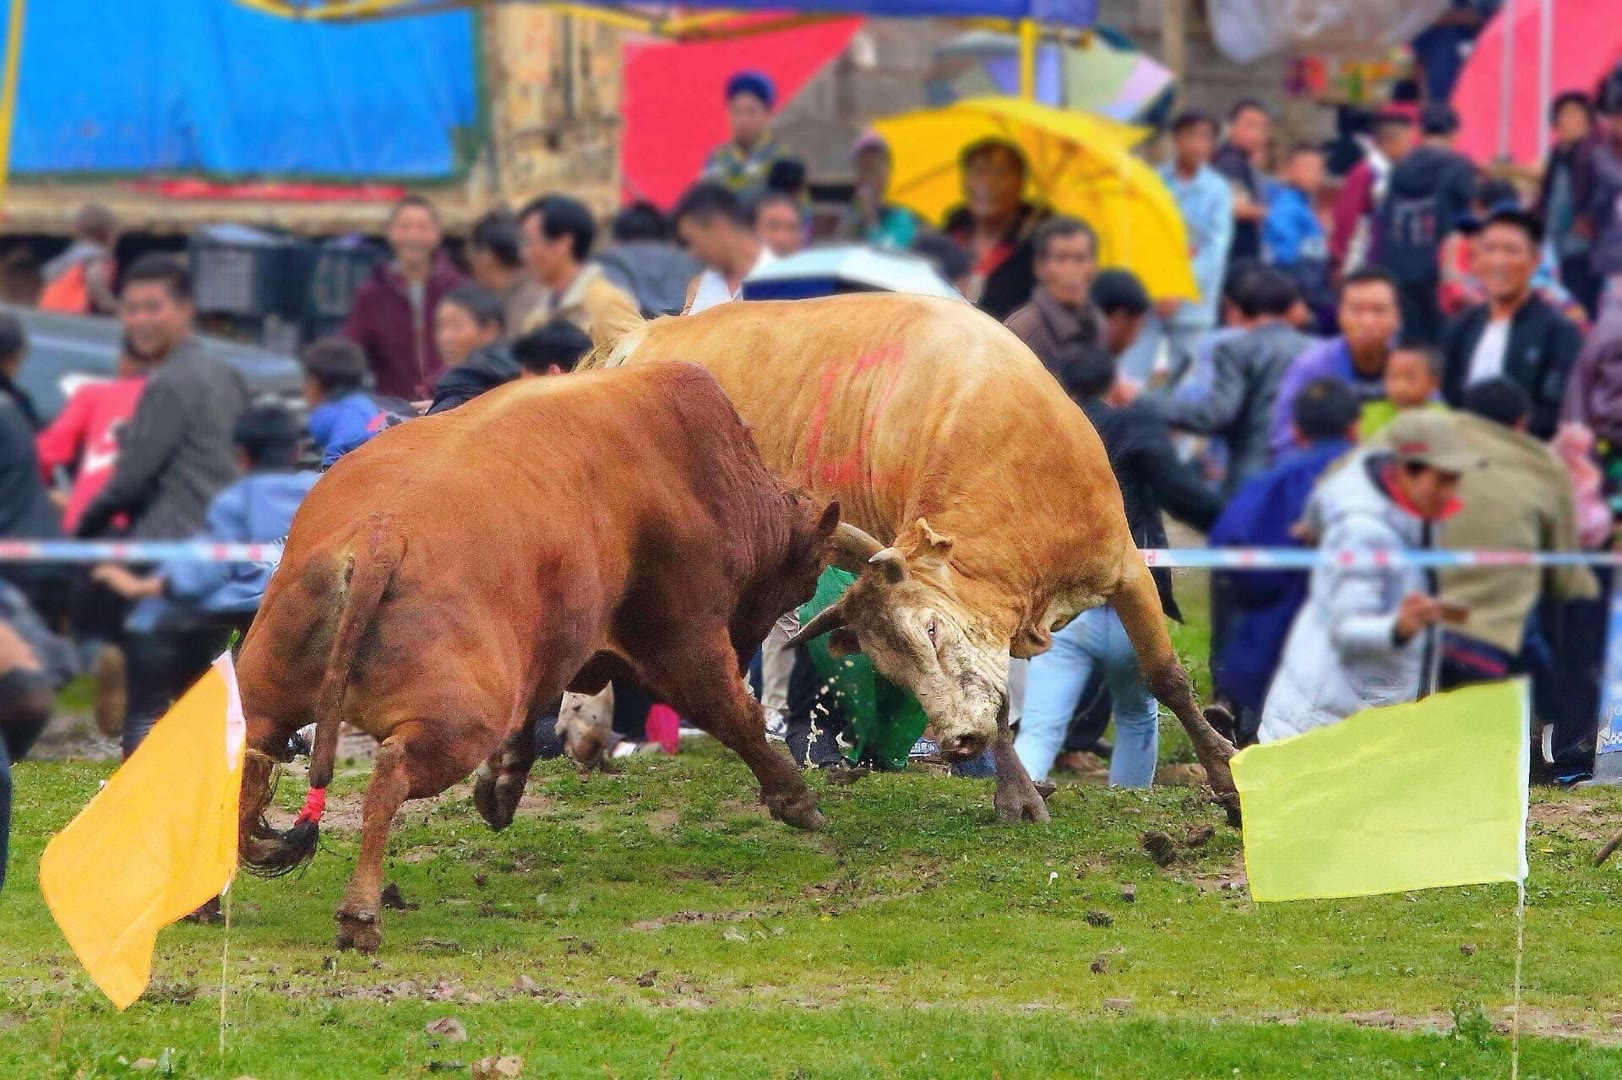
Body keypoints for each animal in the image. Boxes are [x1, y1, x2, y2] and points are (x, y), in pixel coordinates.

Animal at [238, 363, 843, 953]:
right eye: (809, 575)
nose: (757, 643)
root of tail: (380, 538)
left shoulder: (549, 648)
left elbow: (532, 715)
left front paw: (502, 787)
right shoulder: (684, 634)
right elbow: (735, 715)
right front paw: (795, 798)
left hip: (269, 696)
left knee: (250, 754)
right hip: (456, 726)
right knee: (389, 776)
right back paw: (360, 913)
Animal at [590, 290, 1232, 820]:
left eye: (930, 628)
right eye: (891, 664)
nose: (957, 744)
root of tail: (643, 341)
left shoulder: (1124, 566)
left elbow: (1166, 677)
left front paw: (1225, 778)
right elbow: (1000, 703)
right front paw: (1017, 794)